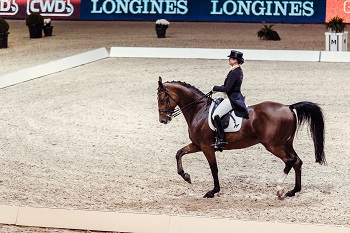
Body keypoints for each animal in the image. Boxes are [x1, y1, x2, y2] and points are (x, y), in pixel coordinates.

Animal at [156, 76, 326, 198]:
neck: (199, 110)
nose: (163, 120)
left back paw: (279, 189)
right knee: (297, 161)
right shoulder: (197, 145)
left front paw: (213, 191)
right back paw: (293, 190)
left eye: (162, 98)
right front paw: (186, 176)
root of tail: (288, 107)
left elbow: (214, 169)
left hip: (273, 145)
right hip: (286, 143)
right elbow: (179, 153)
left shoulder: (206, 147)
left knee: (290, 160)